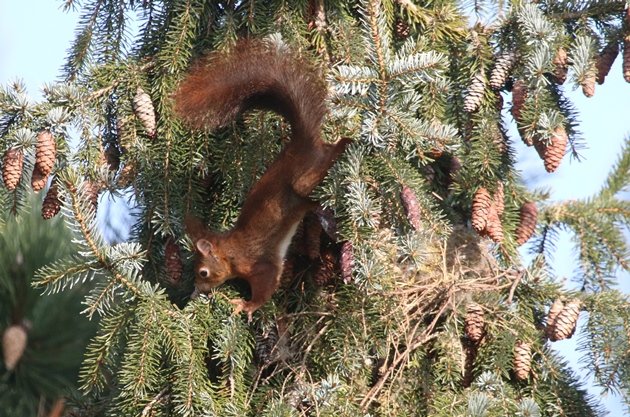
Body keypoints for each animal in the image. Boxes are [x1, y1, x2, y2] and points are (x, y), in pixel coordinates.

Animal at [173, 39, 350, 318]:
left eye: (203, 272)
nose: (194, 292)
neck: (231, 251)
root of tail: (301, 143)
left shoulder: (260, 265)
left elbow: (267, 285)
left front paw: (245, 305)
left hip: (305, 181)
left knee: (327, 160)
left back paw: (348, 143)